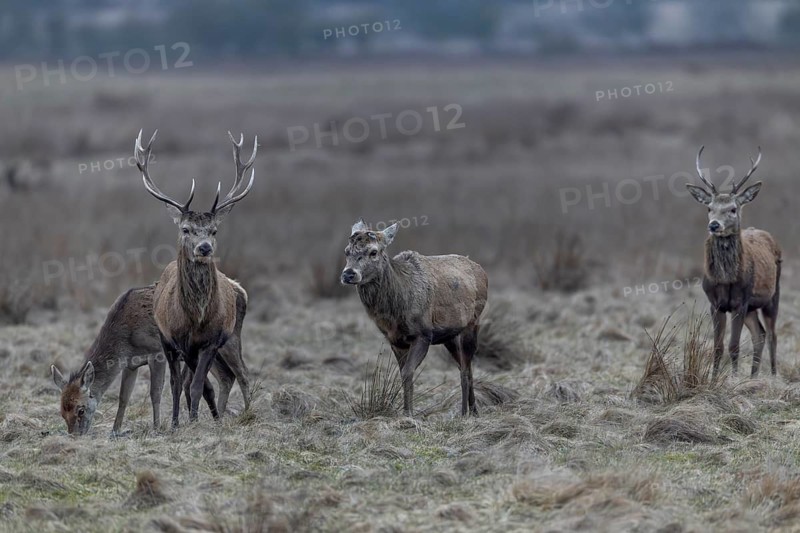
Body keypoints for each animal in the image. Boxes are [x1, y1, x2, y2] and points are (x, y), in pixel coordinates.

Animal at [50, 283, 251, 436]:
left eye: (81, 409)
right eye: (61, 412)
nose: (75, 435)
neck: (126, 340)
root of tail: (242, 292)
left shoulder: (157, 353)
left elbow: (155, 392)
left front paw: (156, 427)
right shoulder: (130, 364)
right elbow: (124, 397)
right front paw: (115, 430)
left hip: (230, 338)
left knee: (243, 373)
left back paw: (248, 414)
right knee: (226, 376)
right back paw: (220, 418)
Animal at [134, 129, 256, 427]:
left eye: (213, 230)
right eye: (186, 229)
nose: (204, 248)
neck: (196, 318)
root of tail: (239, 288)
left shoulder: (211, 341)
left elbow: (199, 384)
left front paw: (197, 420)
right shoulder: (178, 341)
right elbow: (186, 384)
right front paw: (182, 422)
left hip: (232, 337)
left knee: (240, 373)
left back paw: (242, 414)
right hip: (170, 343)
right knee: (192, 380)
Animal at [341, 219, 488, 417]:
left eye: (373, 252)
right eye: (347, 251)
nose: (349, 274)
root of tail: (482, 271)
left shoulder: (423, 334)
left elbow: (407, 372)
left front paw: (408, 414)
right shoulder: (395, 340)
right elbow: (403, 372)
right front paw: (406, 412)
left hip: (472, 323)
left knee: (465, 369)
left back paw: (464, 412)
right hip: (449, 336)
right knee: (466, 367)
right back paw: (474, 410)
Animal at [686, 146, 782, 378]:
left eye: (733, 209)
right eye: (709, 208)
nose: (714, 225)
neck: (726, 279)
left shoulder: (740, 301)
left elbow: (734, 345)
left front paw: (733, 377)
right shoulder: (715, 304)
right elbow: (718, 346)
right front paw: (714, 379)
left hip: (771, 296)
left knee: (772, 335)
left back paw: (773, 375)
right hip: (752, 308)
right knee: (759, 334)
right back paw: (753, 376)